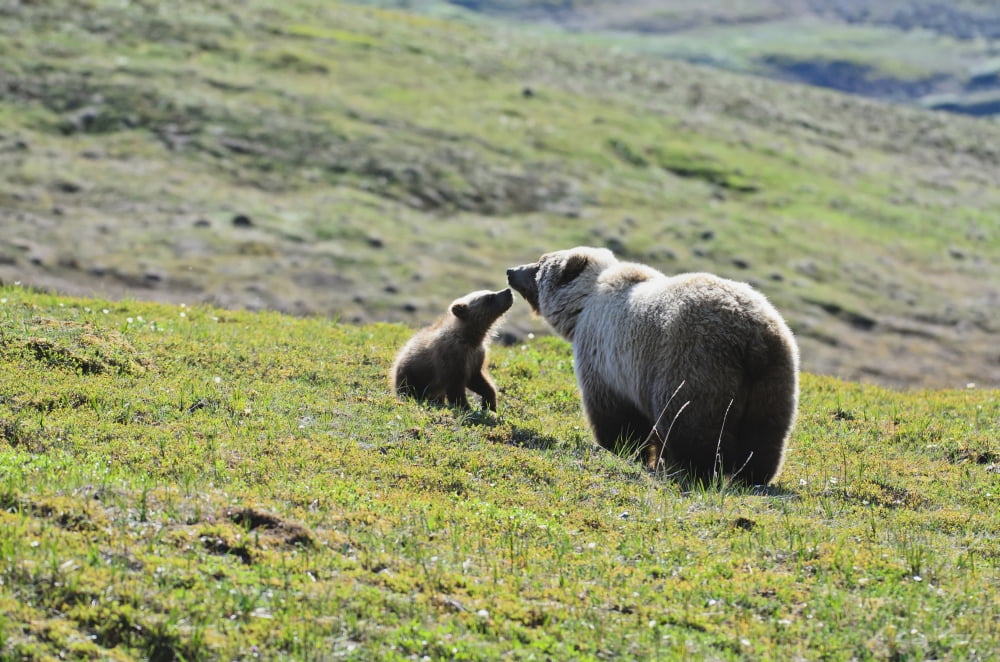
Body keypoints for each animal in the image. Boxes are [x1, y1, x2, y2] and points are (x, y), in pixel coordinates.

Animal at [507, 247, 799, 485]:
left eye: (540, 263)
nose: (511, 271)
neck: (582, 307)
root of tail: (751, 334)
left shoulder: (608, 357)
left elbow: (616, 415)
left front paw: (623, 448)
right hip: (773, 376)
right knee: (765, 433)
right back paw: (752, 475)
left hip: (693, 363)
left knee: (692, 424)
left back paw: (696, 469)